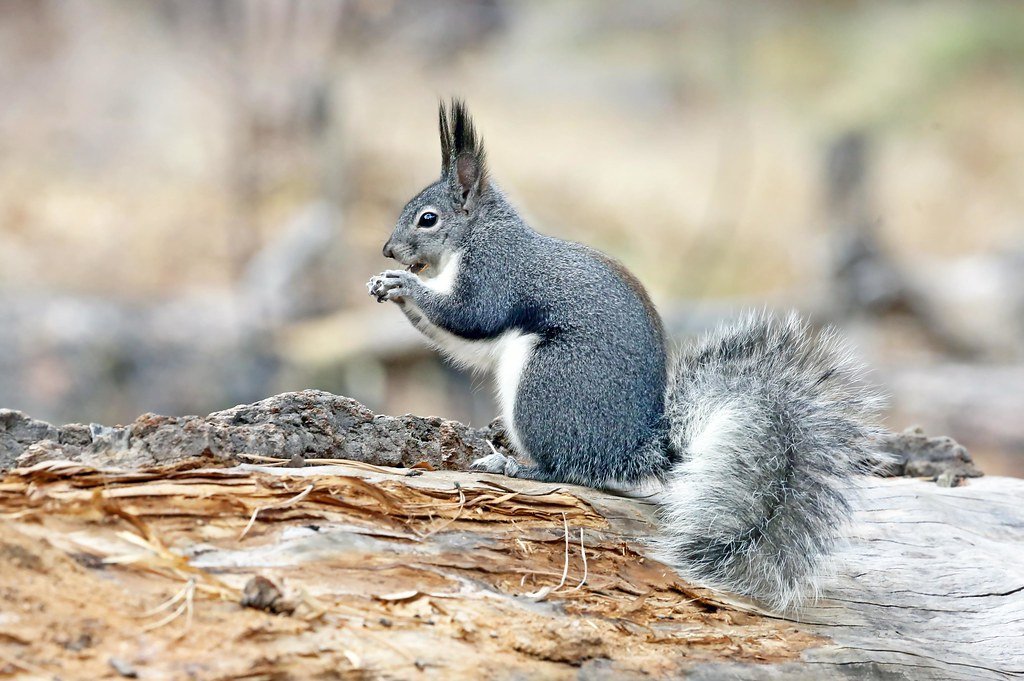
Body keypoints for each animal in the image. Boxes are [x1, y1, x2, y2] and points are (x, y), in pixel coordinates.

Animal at [367, 100, 883, 612]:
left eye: (428, 218)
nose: (388, 250)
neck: (477, 233)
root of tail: (631, 447)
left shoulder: (497, 272)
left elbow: (471, 314)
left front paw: (405, 285)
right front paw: (387, 288)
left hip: (549, 384)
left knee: (568, 470)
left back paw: (512, 465)